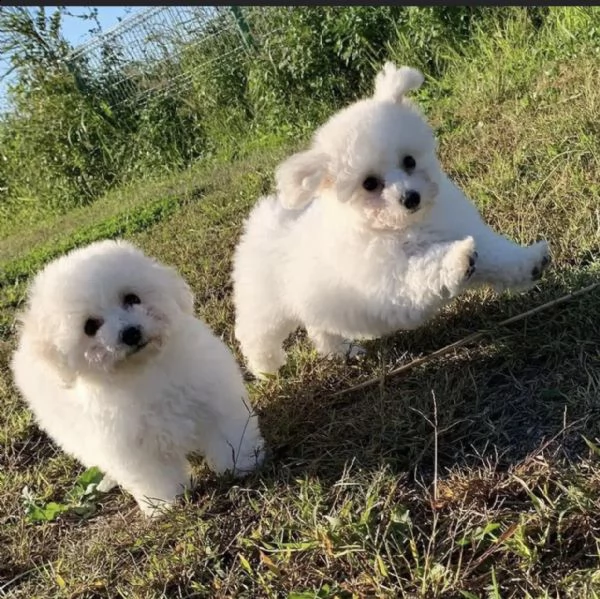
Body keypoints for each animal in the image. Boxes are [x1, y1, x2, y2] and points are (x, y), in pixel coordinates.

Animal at [10, 241, 264, 516]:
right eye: (90, 326)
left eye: (132, 298)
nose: (130, 333)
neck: (143, 372)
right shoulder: (131, 447)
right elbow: (154, 475)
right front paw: (165, 504)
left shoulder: (213, 398)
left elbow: (229, 434)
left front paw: (242, 463)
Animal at [232, 62, 552, 380]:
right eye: (370, 184)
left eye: (409, 161)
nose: (411, 198)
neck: (406, 225)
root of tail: (266, 220)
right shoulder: (393, 280)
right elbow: (426, 267)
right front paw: (457, 259)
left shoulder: (458, 227)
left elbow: (497, 255)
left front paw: (530, 262)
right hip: (265, 307)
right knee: (256, 335)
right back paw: (266, 369)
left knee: (321, 329)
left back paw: (342, 350)